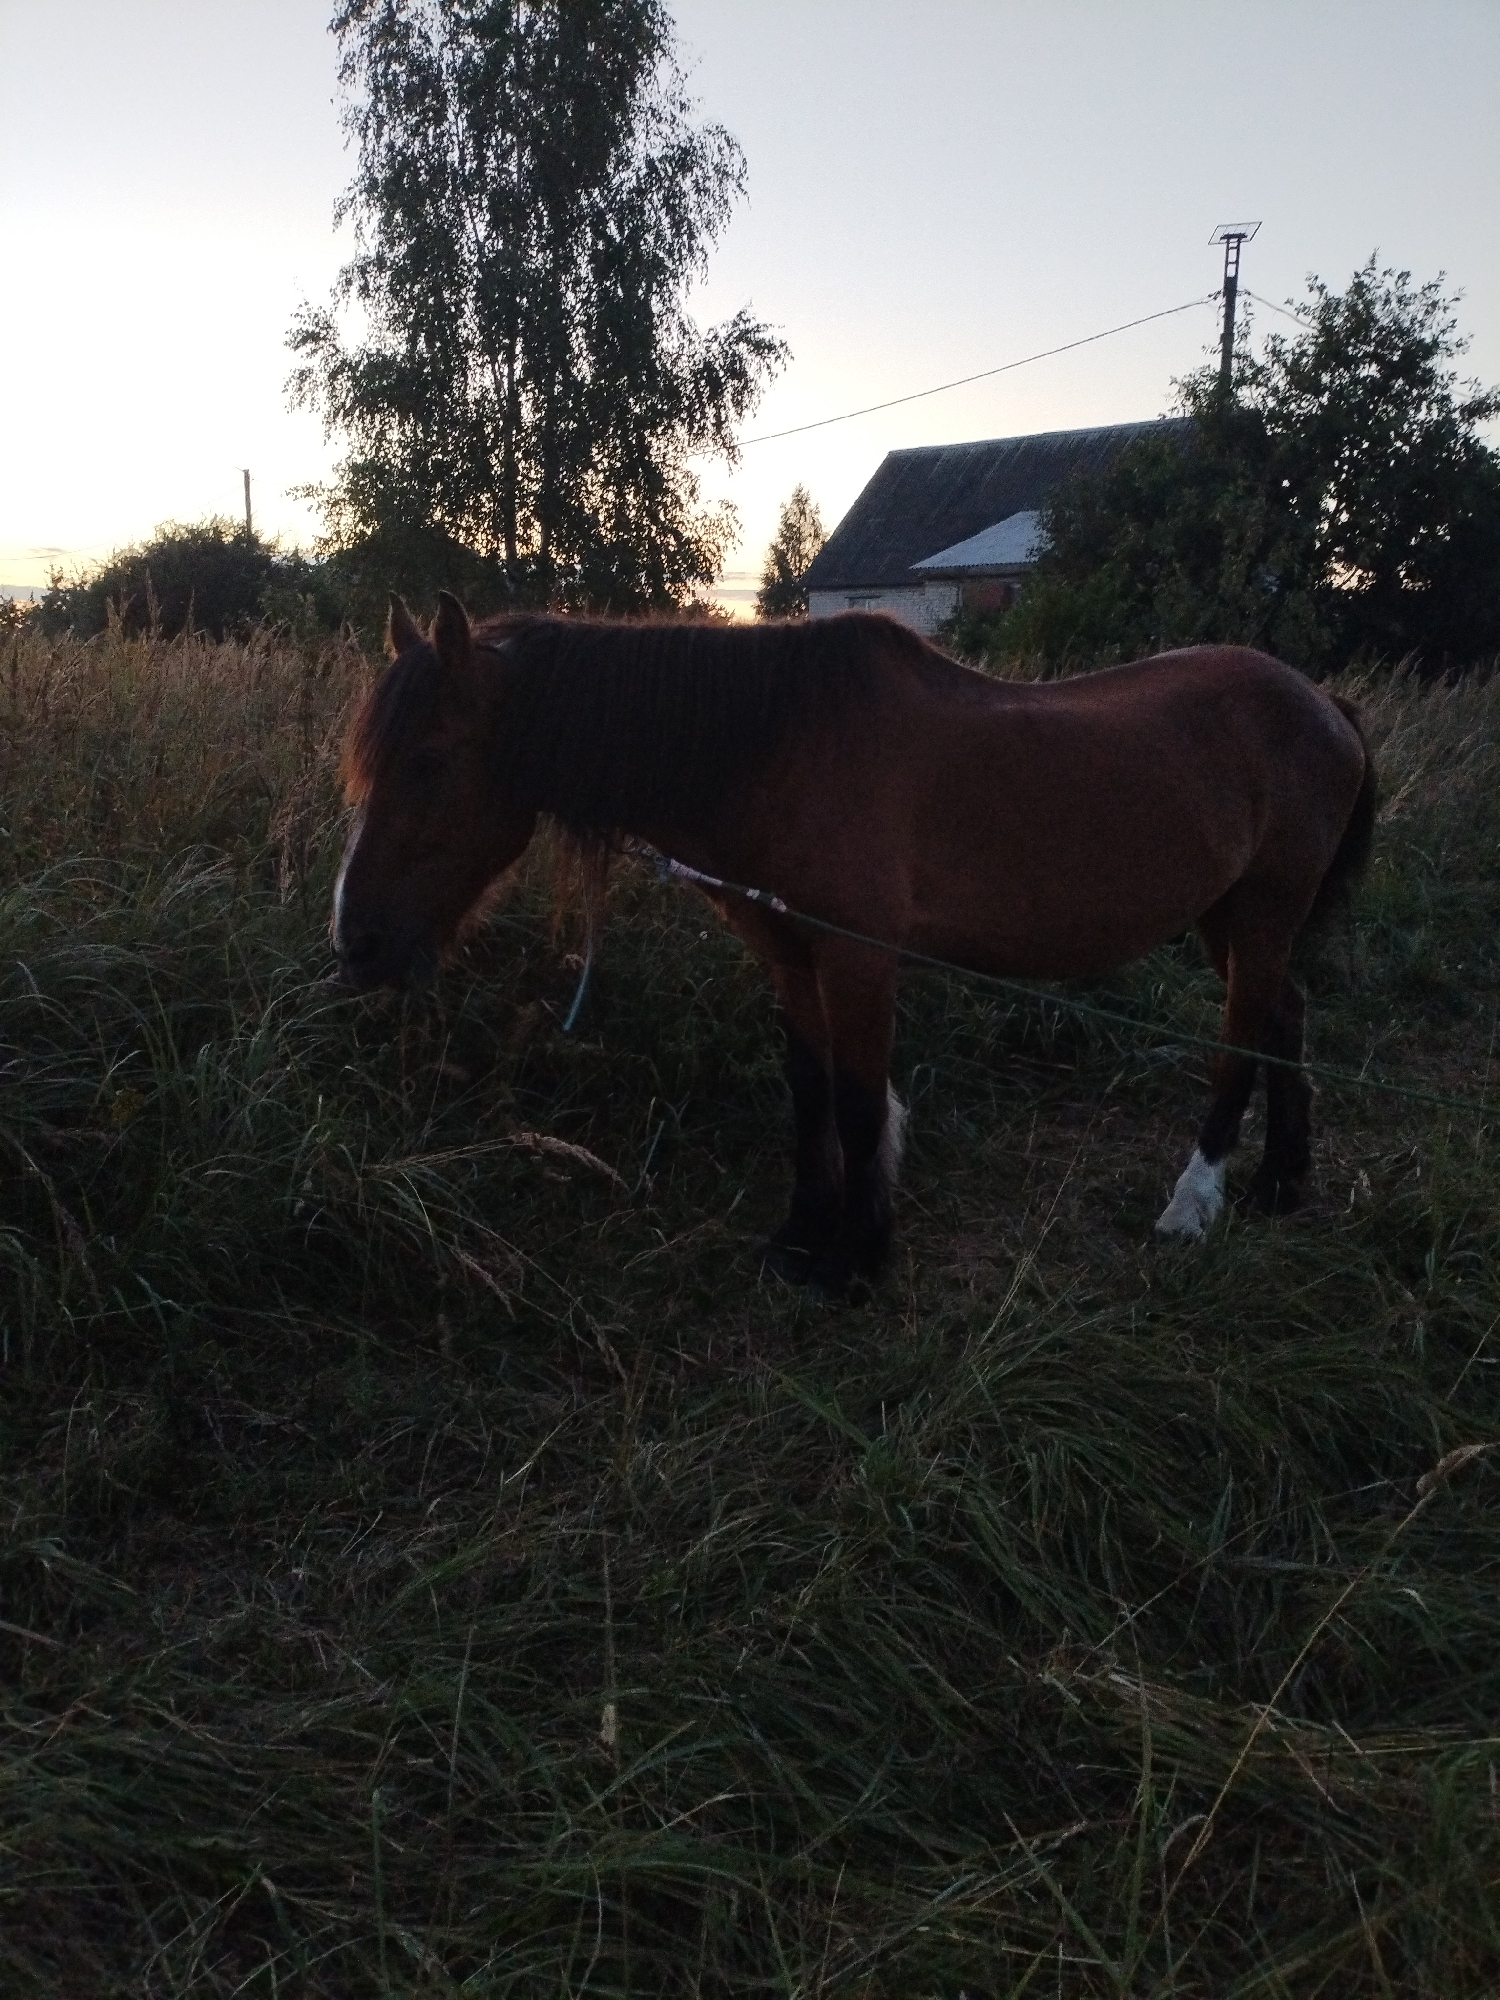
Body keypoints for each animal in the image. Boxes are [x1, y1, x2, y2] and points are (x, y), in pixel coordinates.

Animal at [333, 591, 1375, 1292]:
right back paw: (1282, 1179)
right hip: (1230, 919)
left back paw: (1193, 1206)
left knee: (1240, 1041)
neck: (777, 749)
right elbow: (810, 1092)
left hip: (1262, 912)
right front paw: (803, 1234)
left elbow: (862, 1101)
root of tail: (1324, 703)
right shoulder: (789, 954)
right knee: (1284, 1016)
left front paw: (861, 1257)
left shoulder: (859, 958)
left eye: (429, 762)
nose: (357, 943)